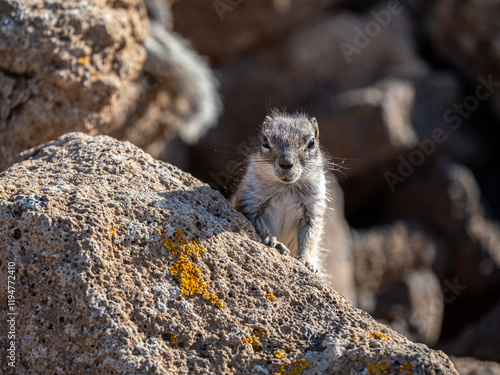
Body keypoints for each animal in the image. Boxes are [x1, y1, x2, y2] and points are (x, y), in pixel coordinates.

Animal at [231, 110, 328, 272]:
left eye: (311, 143)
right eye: (265, 141)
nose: (286, 163)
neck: (286, 188)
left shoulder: (313, 211)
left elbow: (310, 237)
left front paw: (307, 261)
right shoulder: (249, 203)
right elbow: (258, 226)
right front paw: (275, 242)